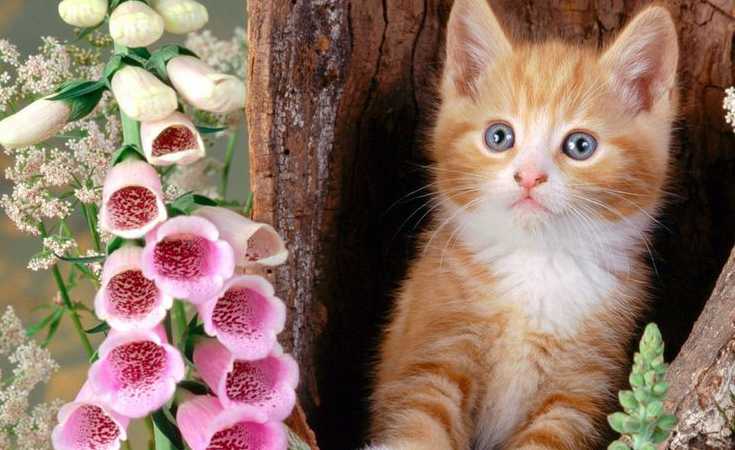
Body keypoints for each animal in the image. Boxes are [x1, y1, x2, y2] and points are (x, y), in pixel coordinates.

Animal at [366, 1, 680, 448]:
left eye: (580, 145)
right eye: (499, 136)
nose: (529, 176)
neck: (537, 262)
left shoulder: (579, 391)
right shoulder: (433, 350)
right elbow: (420, 422)